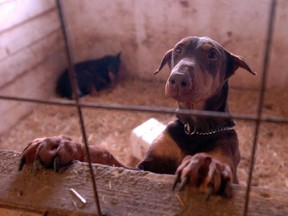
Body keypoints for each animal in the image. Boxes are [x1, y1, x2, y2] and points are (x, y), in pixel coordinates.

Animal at [19, 36, 255, 198]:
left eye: (212, 54)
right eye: (178, 49)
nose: (178, 79)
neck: (195, 128)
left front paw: (206, 166)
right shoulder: (143, 169)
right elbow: (106, 156)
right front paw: (60, 144)